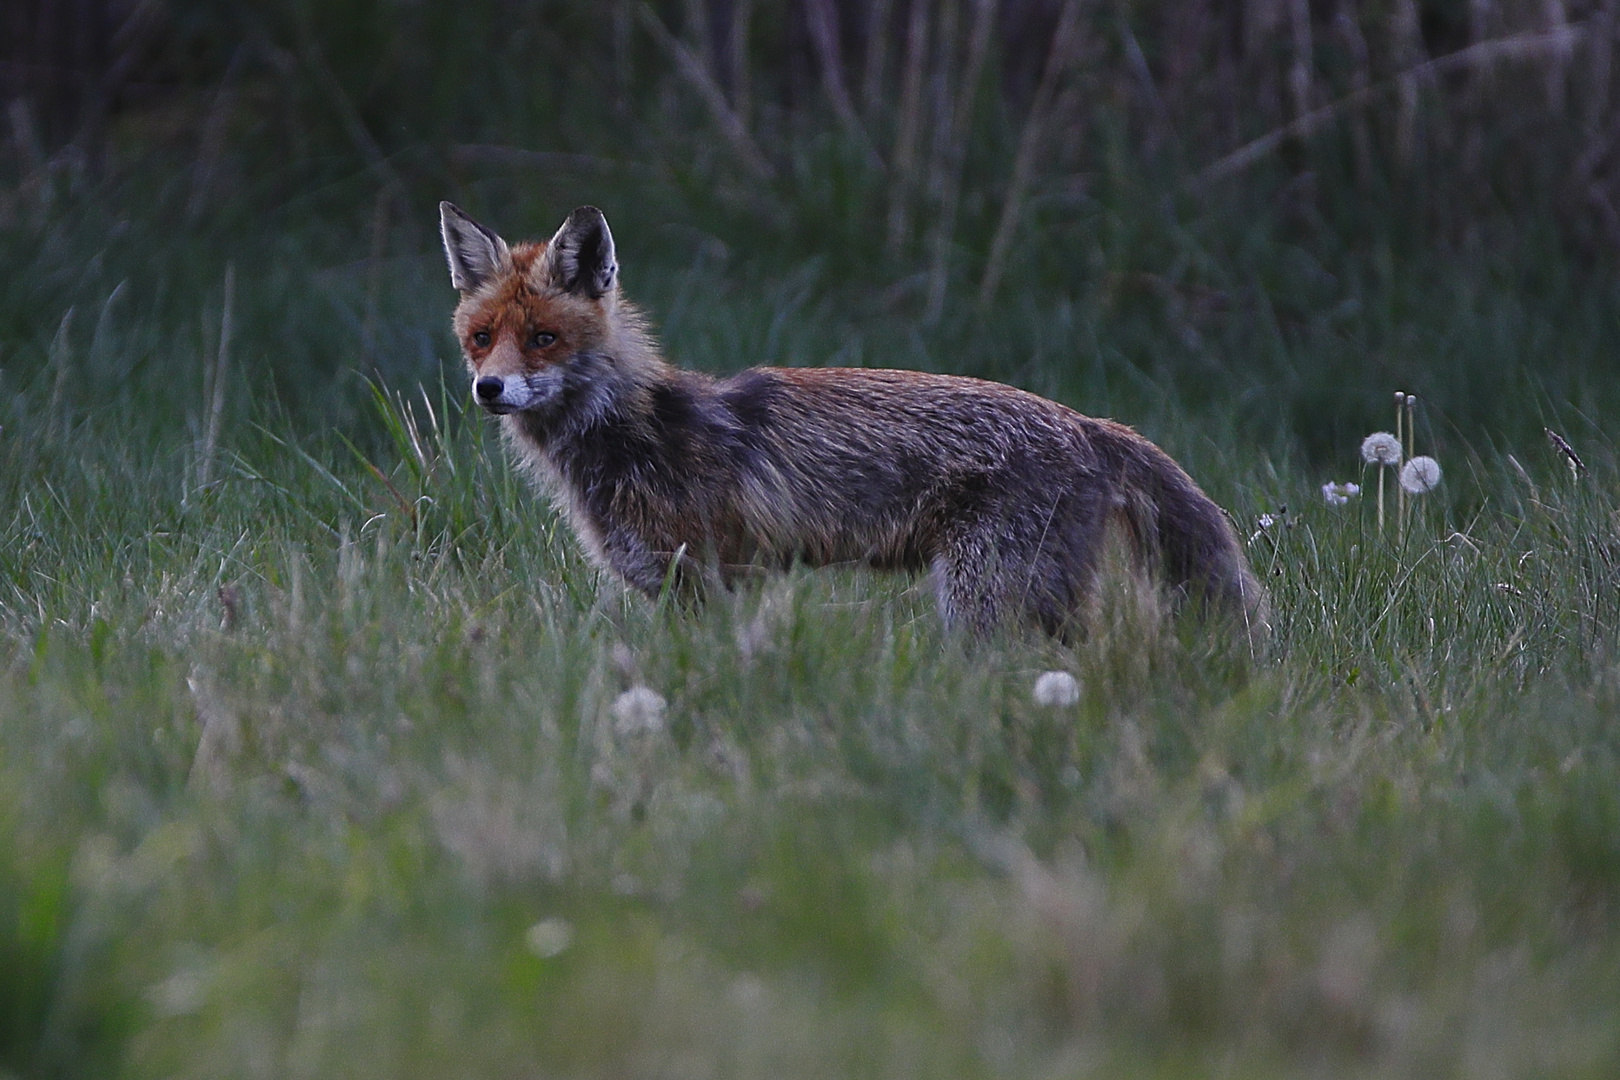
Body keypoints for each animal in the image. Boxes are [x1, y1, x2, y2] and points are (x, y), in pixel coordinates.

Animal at [440, 202, 1263, 641]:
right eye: (481, 337)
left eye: (543, 338)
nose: (489, 388)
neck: (637, 432)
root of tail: (1087, 421)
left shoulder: (709, 582)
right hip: (1038, 599)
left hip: (981, 603)